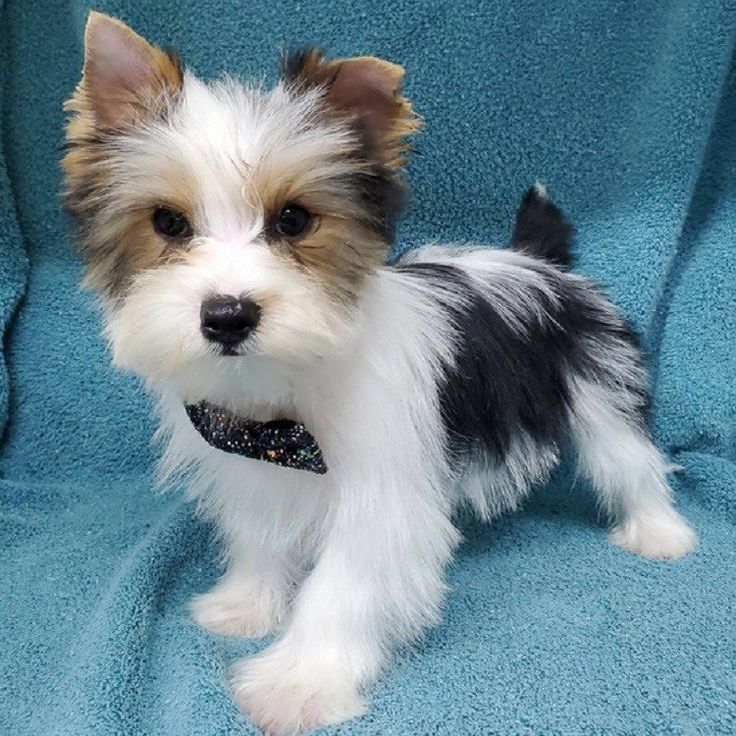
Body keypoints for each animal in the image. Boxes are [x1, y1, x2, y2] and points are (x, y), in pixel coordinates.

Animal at [61, 12, 696, 736]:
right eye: (167, 222)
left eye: (294, 219)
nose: (227, 316)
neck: (289, 386)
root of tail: (541, 262)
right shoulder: (251, 464)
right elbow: (260, 535)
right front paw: (247, 605)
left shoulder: (382, 492)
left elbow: (344, 583)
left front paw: (297, 682)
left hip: (599, 383)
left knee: (629, 459)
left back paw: (659, 532)